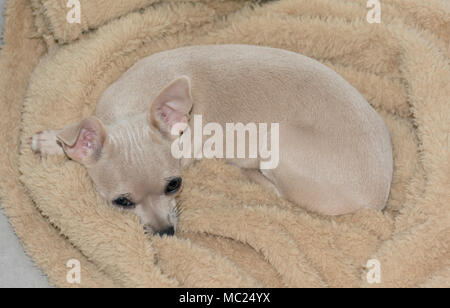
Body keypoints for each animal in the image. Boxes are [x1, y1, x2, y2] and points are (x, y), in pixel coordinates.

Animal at [29, 44, 392, 235]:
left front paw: (52, 143)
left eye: (174, 185)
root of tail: (377, 200)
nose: (166, 232)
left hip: (278, 144)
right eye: (122, 202)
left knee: (278, 191)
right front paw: (52, 141)